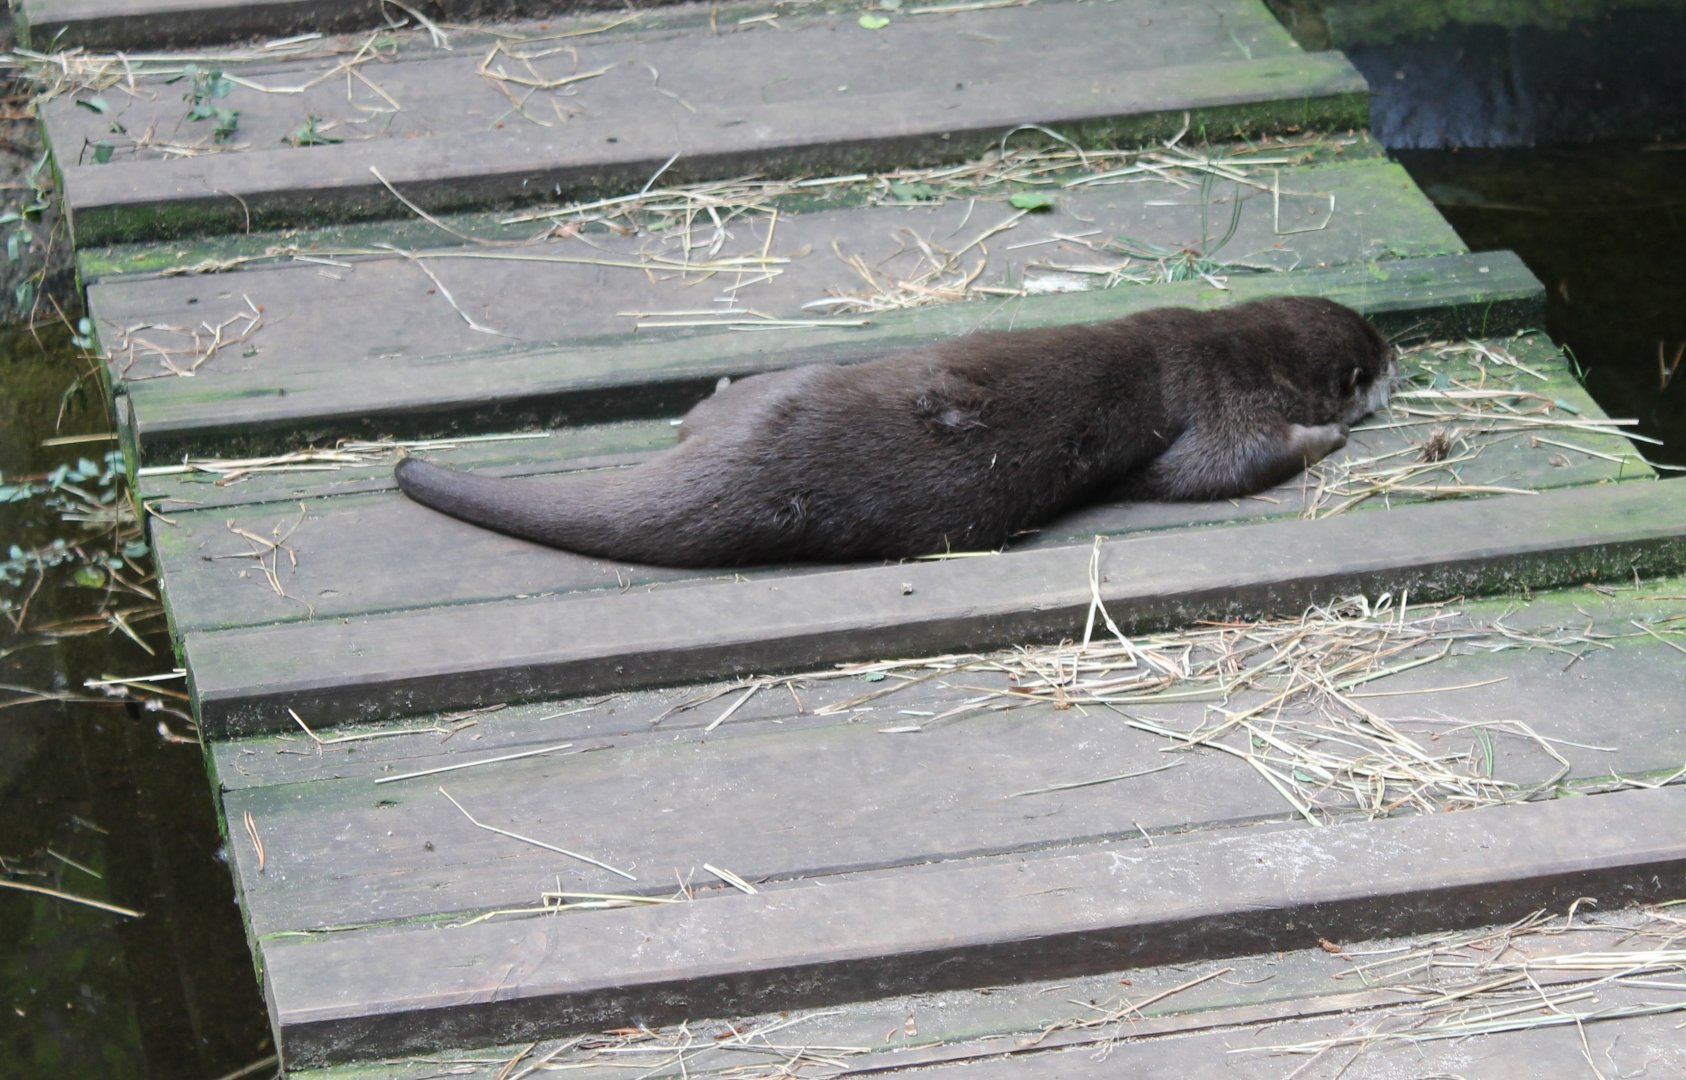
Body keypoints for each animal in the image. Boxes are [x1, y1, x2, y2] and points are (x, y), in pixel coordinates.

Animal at [394, 296, 1395, 567]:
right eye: (1378, 352)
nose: (1400, 358)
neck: (1241, 341)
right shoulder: (1225, 401)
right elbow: (1212, 469)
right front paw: (1326, 439)